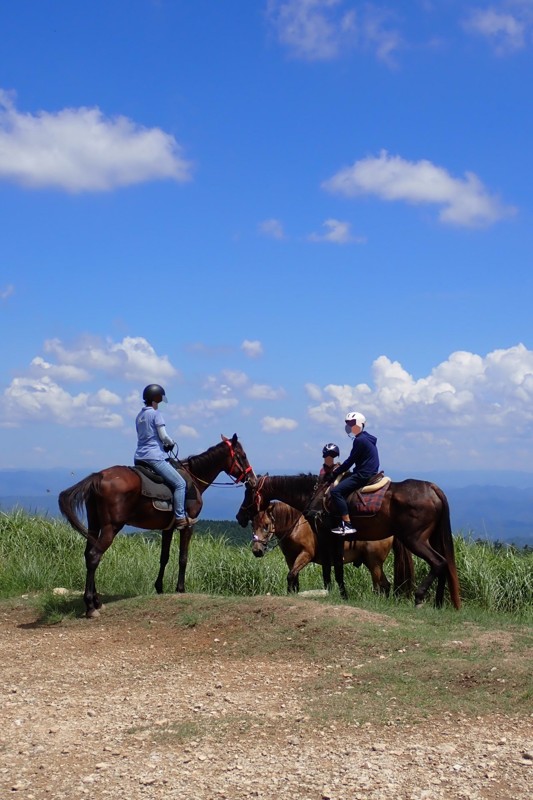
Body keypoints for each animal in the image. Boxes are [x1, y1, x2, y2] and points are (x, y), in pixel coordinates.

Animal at [59, 434, 255, 616]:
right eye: (242, 455)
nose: (252, 479)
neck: (194, 478)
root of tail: (98, 477)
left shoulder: (167, 528)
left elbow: (164, 557)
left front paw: (159, 587)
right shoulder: (188, 525)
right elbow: (183, 557)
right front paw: (180, 589)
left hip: (94, 524)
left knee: (88, 555)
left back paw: (97, 601)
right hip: (111, 527)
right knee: (94, 556)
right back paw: (91, 606)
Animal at [251, 504, 414, 596]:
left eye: (266, 525)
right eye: (252, 524)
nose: (256, 551)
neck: (296, 527)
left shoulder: (305, 555)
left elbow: (291, 575)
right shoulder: (290, 558)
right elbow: (293, 576)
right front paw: (292, 593)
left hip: (374, 562)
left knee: (379, 585)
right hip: (372, 563)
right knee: (385, 585)